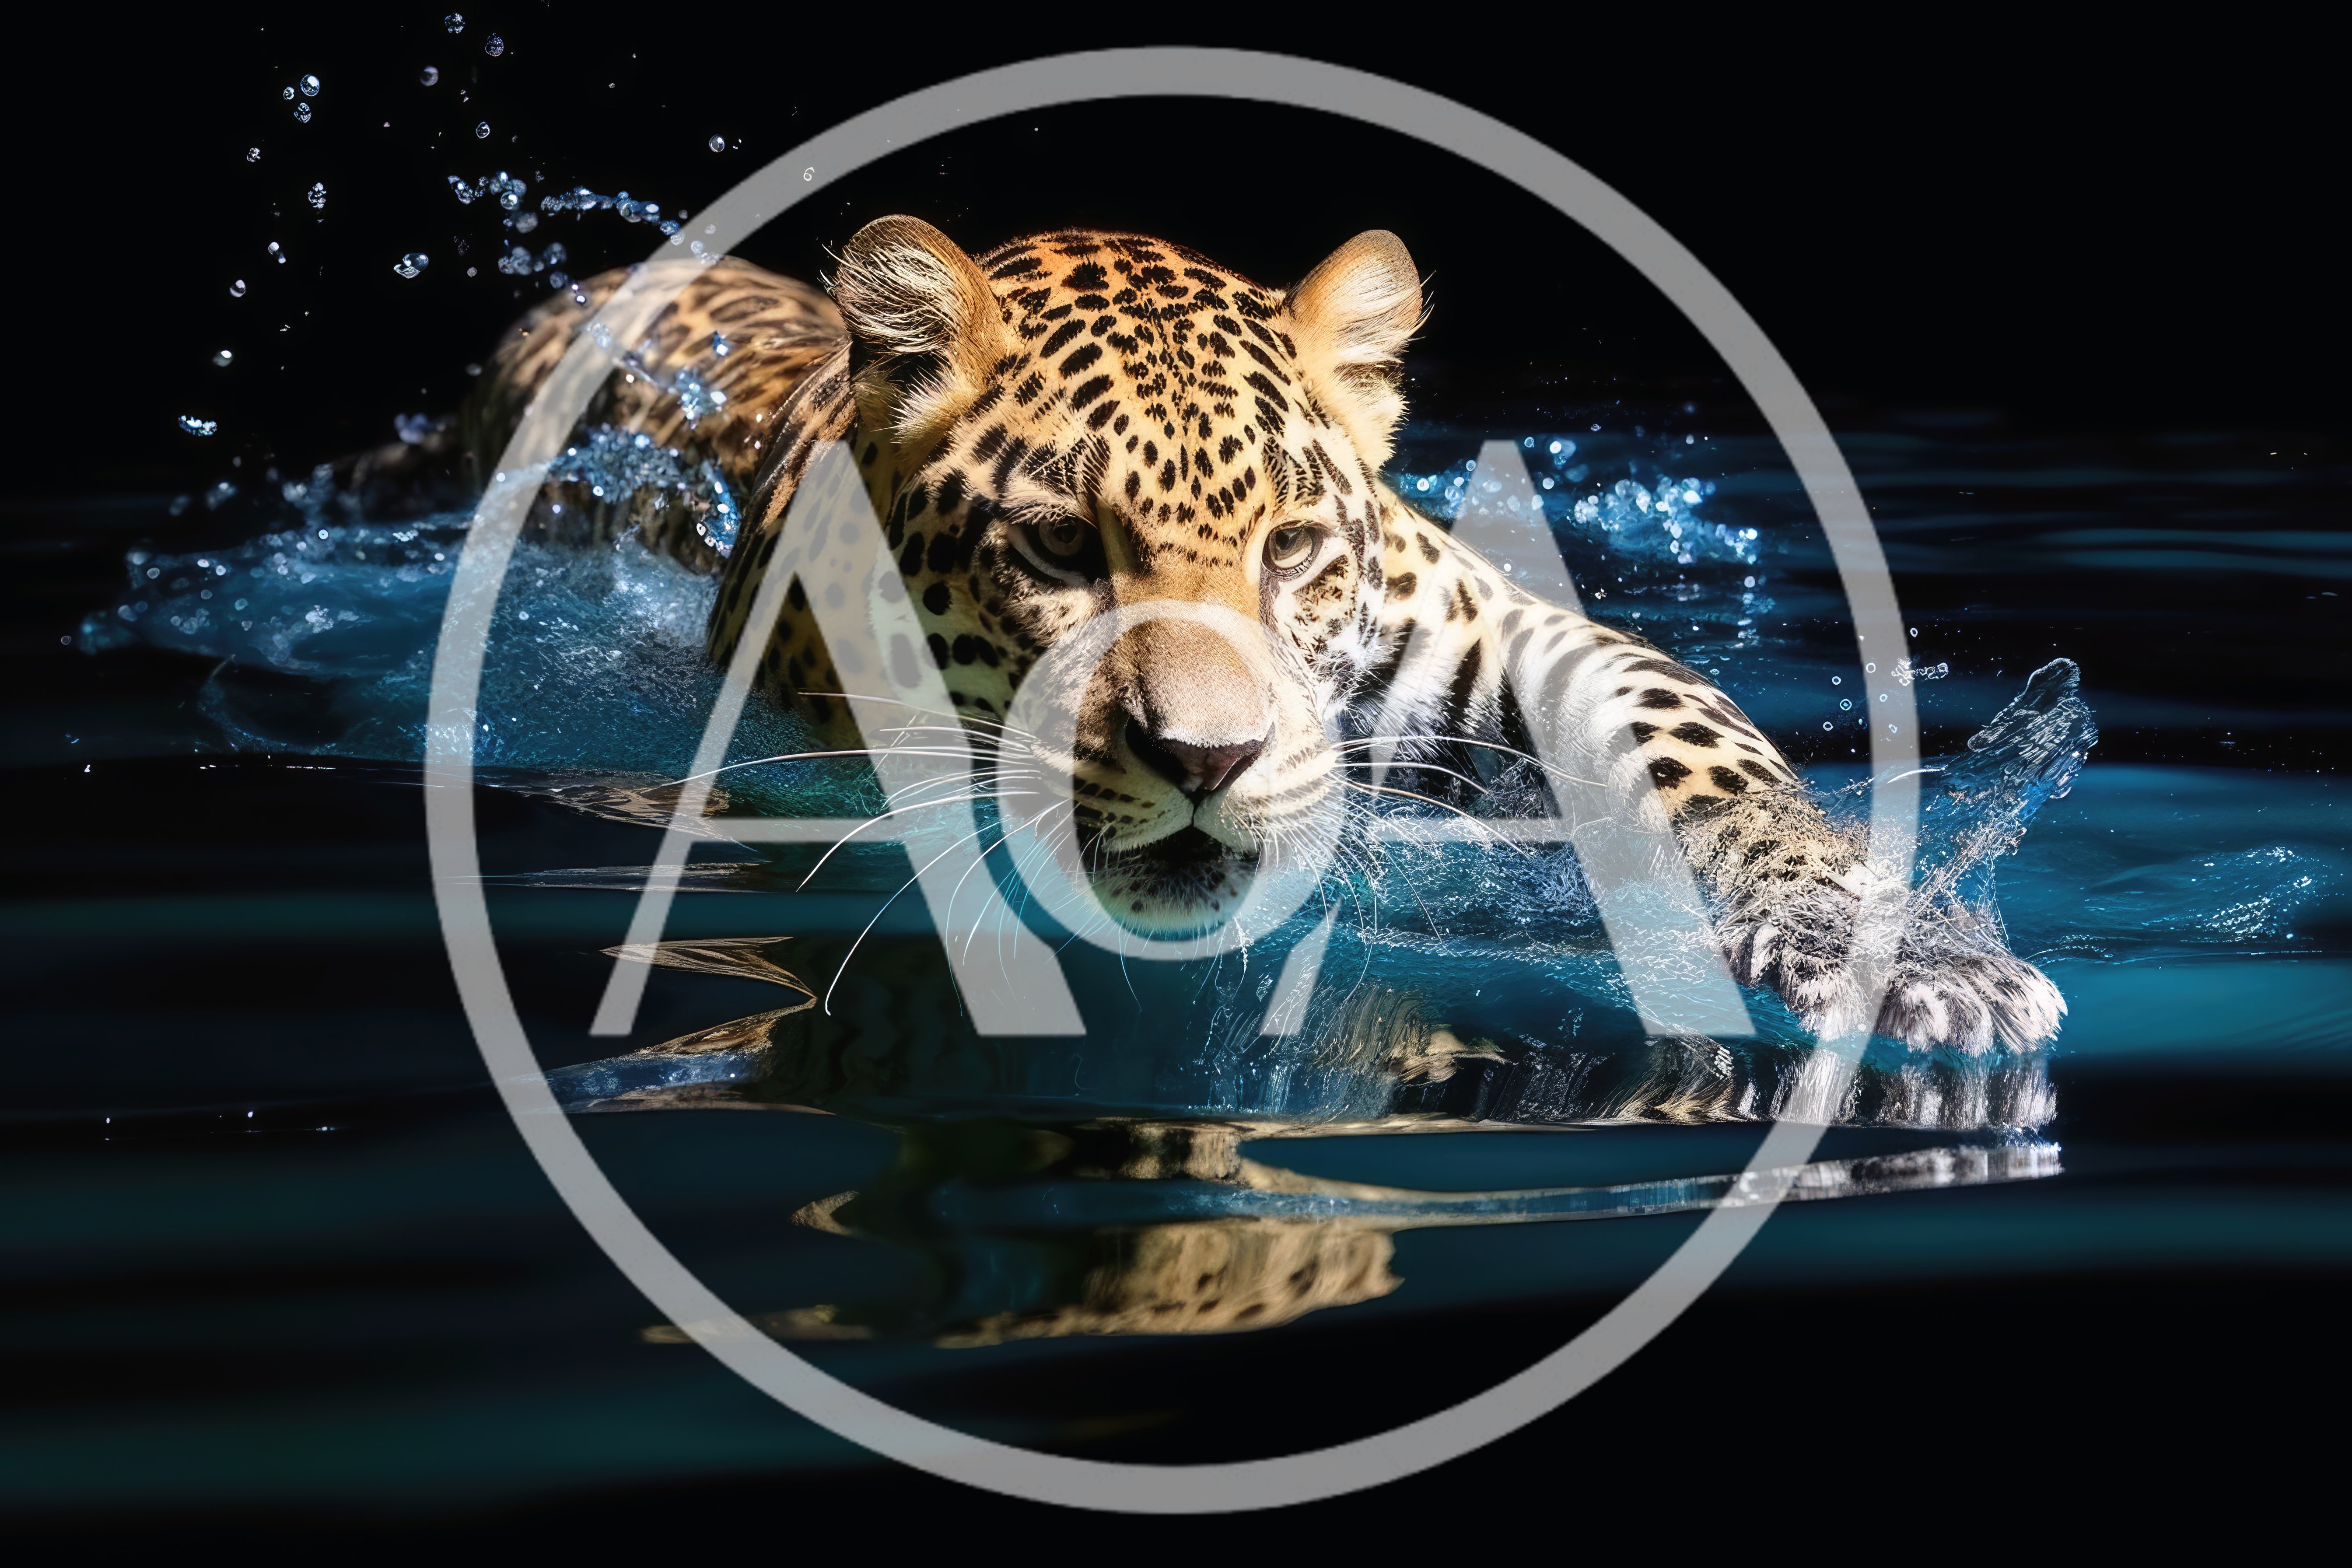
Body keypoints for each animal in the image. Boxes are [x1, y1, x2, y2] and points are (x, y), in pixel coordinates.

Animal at [459, 219, 2065, 1055]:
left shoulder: (1501, 628)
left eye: (1288, 548)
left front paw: (1910, 957)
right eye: (1059, 546)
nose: (1207, 760)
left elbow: (1703, 751)